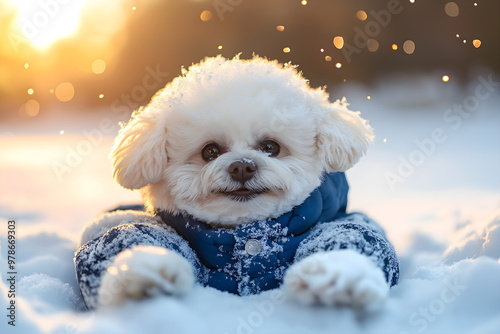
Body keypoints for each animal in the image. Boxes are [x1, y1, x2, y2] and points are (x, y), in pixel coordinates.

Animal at [75, 55, 398, 310]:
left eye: (270, 147)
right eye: (210, 151)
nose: (242, 166)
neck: (246, 230)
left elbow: (355, 234)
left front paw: (337, 276)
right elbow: (128, 234)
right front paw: (146, 272)